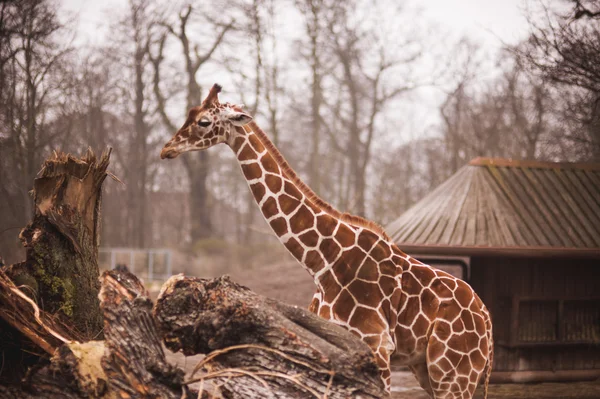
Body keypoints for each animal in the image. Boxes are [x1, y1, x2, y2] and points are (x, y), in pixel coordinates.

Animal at [159, 83, 492, 396]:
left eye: (203, 121)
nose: (166, 149)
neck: (322, 261)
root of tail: (487, 321)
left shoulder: (376, 345)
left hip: (452, 371)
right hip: (429, 368)